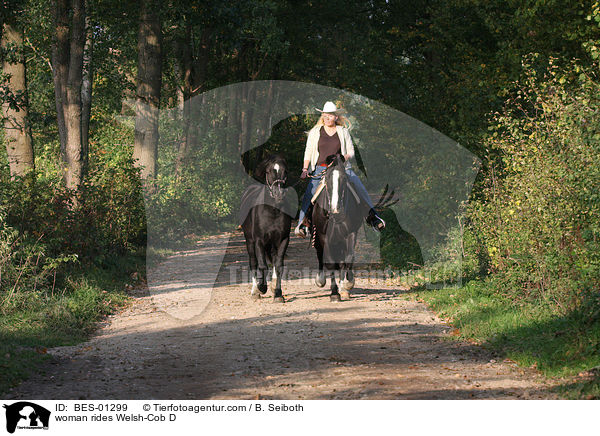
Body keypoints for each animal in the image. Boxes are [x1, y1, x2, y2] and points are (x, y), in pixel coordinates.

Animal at [240, 154, 294, 304]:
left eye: (285, 171)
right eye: (269, 171)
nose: (278, 193)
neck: (272, 210)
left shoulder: (283, 240)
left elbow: (278, 265)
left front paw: (278, 294)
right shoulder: (259, 241)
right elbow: (262, 265)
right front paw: (262, 287)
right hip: (250, 241)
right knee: (253, 262)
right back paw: (255, 291)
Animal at [310, 155, 370, 302]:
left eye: (344, 178)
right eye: (327, 178)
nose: (336, 210)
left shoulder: (351, 234)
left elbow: (348, 258)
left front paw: (347, 285)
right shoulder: (324, 237)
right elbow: (330, 263)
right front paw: (334, 293)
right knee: (321, 255)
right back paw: (321, 280)